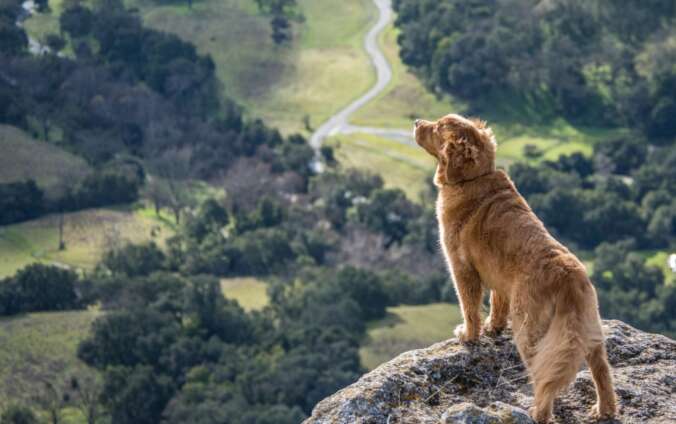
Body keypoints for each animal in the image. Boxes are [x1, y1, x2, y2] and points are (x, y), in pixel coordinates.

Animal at [414, 114, 616, 422]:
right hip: (590, 332)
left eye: (436, 127)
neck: (474, 177)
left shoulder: (462, 268)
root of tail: (568, 277)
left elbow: (469, 307)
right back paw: (604, 409)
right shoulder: (498, 277)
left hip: (530, 330)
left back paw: (538, 412)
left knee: (546, 378)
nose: (416, 122)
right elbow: (497, 304)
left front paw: (468, 335)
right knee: (602, 371)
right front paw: (493, 328)